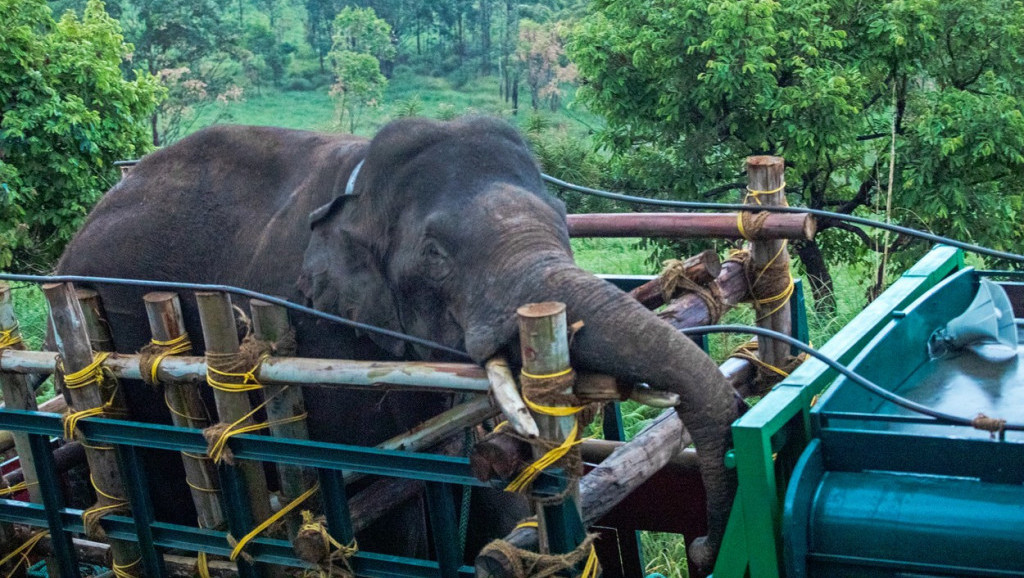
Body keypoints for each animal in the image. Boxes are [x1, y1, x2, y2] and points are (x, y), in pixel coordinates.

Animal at [54, 115, 737, 569]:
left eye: (566, 223)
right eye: (435, 255)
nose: (706, 547)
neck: (359, 189)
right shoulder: (316, 329)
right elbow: (382, 503)